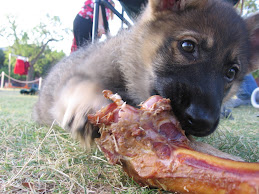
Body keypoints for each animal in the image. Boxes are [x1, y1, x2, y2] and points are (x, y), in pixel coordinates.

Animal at [33, 0, 258, 152]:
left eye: (231, 72)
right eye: (187, 46)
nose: (203, 122)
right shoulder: (77, 76)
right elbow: (84, 85)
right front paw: (88, 108)